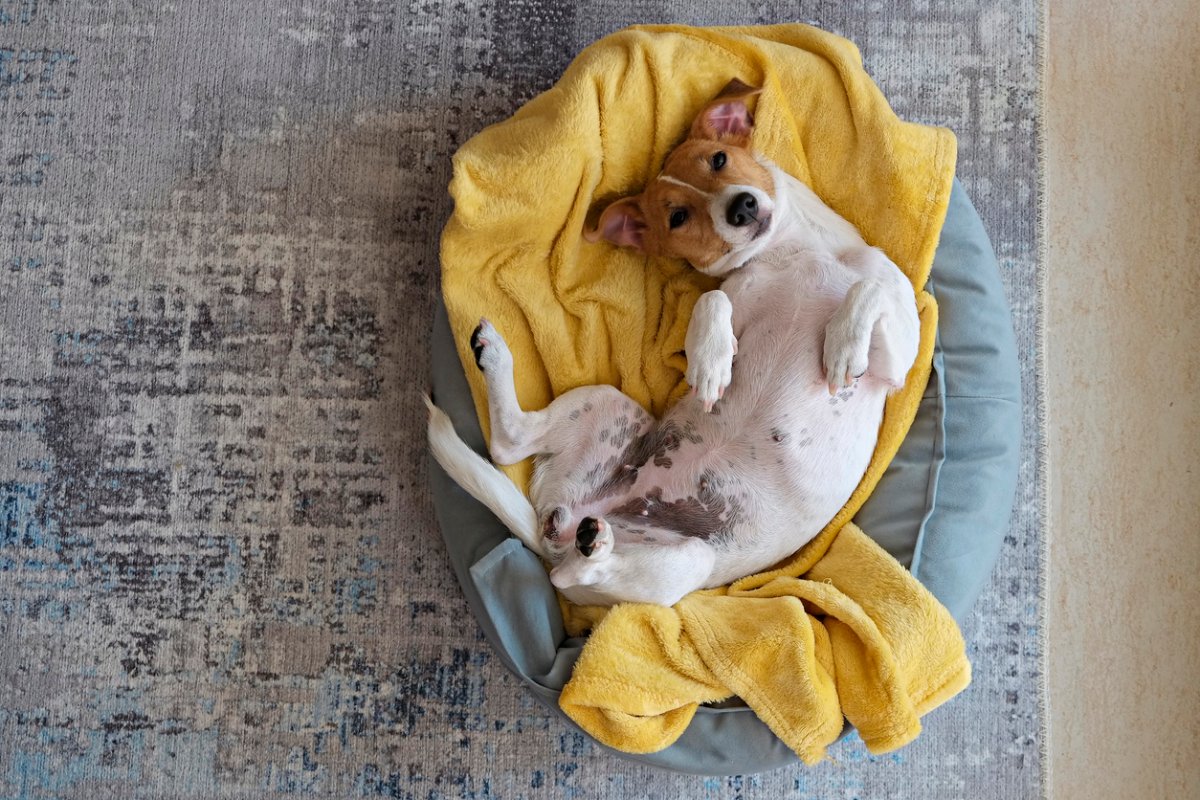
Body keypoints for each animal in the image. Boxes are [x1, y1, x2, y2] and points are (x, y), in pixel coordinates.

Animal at [429, 79, 916, 606]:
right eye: (679, 217)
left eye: (719, 159)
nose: (741, 206)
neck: (794, 253)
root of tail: (559, 532)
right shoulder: (733, 296)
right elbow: (711, 301)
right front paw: (711, 360)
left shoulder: (896, 361)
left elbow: (865, 289)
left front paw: (843, 346)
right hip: (650, 498)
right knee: (515, 465)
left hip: (666, 527)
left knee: (533, 494)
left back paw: (590, 539)